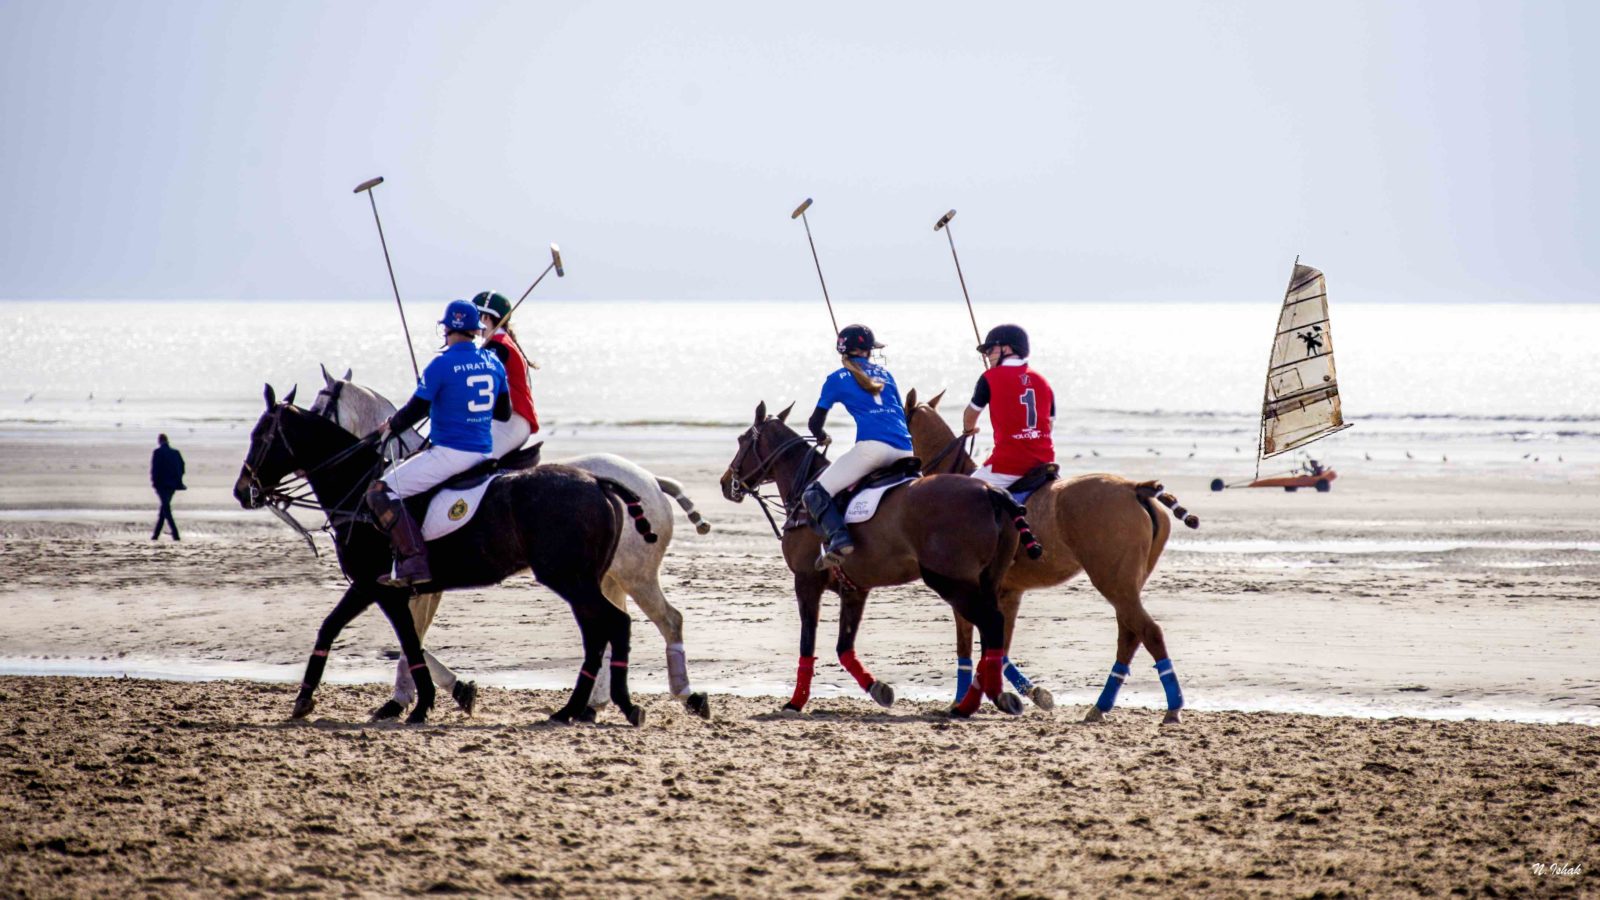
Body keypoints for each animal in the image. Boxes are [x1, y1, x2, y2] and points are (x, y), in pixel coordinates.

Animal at [308, 360, 710, 717]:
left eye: (315, 408)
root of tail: (651, 481)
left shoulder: (411, 584)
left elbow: (411, 638)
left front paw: (418, 697)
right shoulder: (417, 586)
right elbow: (412, 639)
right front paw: (435, 694)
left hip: (632, 575)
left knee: (666, 619)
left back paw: (685, 695)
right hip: (608, 577)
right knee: (614, 626)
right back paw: (595, 704)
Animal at [723, 398, 1043, 714]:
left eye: (741, 440)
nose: (726, 483)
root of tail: (991, 491)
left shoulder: (806, 580)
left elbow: (807, 642)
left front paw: (796, 701)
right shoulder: (855, 588)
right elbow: (844, 648)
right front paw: (878, 689)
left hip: (950, 581)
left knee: (992, 624)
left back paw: (990, 697)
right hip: (988, 579)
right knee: (993, 631)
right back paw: (975, 702)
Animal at [908, 385, 1196, 720]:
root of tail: (1136, 487)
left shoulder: (968, 590)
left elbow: (968, 644)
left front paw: (963, 701)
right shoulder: (1009, 592)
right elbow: (998, 647)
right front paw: (1030, 693)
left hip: (1111, 580)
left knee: (1148, 632)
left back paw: (1172, 707)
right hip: (1126, 583)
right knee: (1129, 634)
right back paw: (1101, 706)